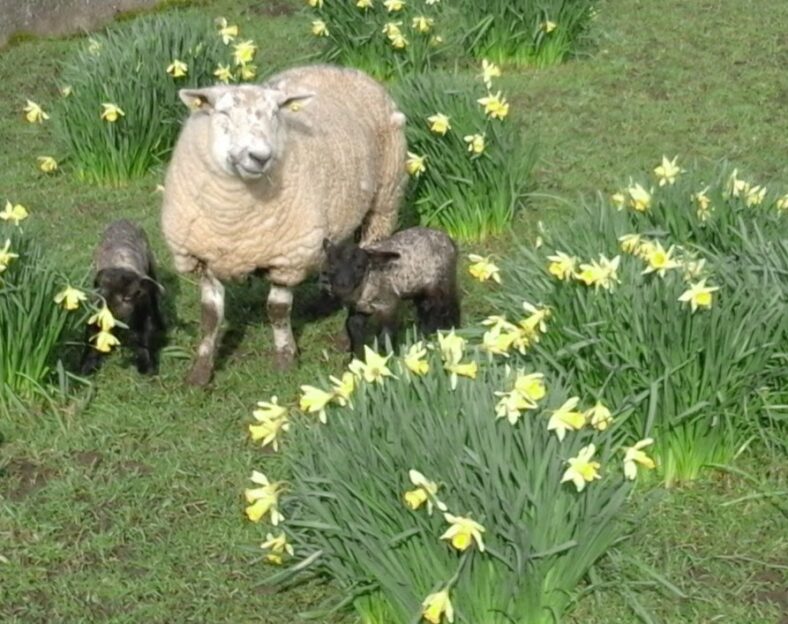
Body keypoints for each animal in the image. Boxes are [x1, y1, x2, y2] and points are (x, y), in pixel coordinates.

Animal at [79, 219, 165, 375]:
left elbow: (144, 338)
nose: (109, 317)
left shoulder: (143, 310)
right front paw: (86, 367)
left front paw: (147, 367)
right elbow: (92, 337)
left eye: (128, 297)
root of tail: (123, 219)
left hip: (151, 266)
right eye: (100, 291)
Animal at [161, 64, 407, 386]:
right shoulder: (205, 255)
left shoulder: (288, 256)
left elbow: (277, 310)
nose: (260, 157)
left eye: (276, 114)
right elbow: (210, 316)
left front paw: (285, 358)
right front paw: (200, 371)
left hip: (385, 201)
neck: (234, 219)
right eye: (223, 113)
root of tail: (342, 69)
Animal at [322, 226, 460, 357]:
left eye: (359, 266)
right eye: (332, 265)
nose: (341, 287)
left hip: (444, 282)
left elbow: (386, 337)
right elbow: (353, 328)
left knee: (450, 306)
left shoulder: (389, 305)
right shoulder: (358, 310)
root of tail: (449, 239)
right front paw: (357, 360)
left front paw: (391, 358)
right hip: (419, 288)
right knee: (426, 307)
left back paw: (453, 331)